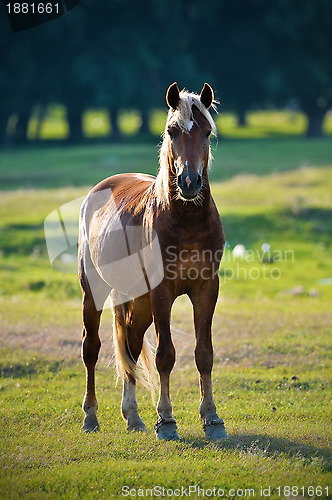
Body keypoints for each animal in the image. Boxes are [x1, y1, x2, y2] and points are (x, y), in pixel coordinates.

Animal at [79, 83, 227, 442]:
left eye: (206, 132)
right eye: (173, 131)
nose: (189, 182)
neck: (187, 221)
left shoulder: (206, 288)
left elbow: (204, 354)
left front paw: (212, 419)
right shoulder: (162, 292)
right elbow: (165, 356)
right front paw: (167, 420)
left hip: (139, 300)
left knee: (130, 346)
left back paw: (132, 417)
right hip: (94, 292)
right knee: (91, 349)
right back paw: (91, 416)